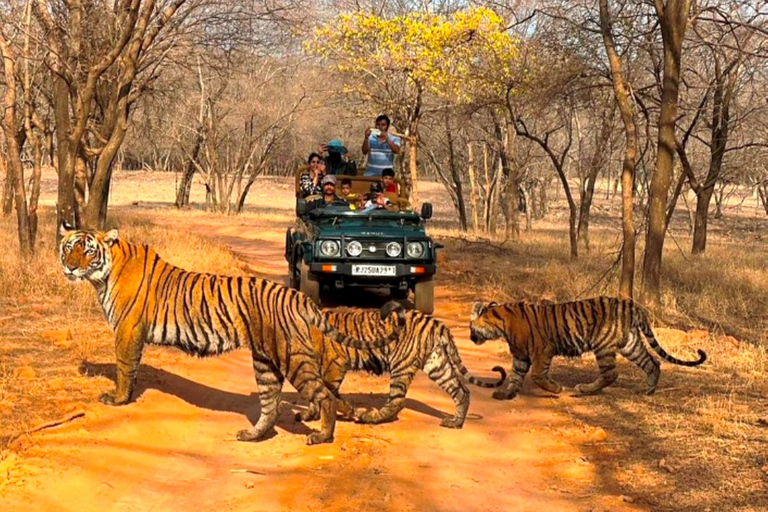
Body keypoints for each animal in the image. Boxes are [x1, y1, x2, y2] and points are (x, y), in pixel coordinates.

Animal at [56, 222, 396, 446]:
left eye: (87, 251)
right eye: (68, 248)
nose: (70, 269)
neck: (103, 275)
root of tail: (298, 296)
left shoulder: (127, 330)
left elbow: (125, 368)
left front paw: (117, 400)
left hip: (292, 358)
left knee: (323, 394)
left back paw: (323, 436)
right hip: (265, 362)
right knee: (272, 405)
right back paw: (252, 435)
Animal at [300, 300, 510, 428]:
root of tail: (436, 323)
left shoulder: (334, 365)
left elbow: (327, 392)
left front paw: (341, 411)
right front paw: (310, 414)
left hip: (401, 365)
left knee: (397, 400)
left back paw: (369, 417)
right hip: (437, 364)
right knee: (461, 390)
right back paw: (455, 422)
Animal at [464, 296, 704, 400]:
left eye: (470, 326)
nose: (470, 337)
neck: (501, 325)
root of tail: (632, 305)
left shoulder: (542, 350)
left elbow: (537, 375)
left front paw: (556, 389)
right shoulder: (521, 355)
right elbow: (515, 376)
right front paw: (506, 393)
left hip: (603, 345)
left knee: (610, 374)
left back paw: (583, 390)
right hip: (630, 344)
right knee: (652, 362)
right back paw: (649, 390)